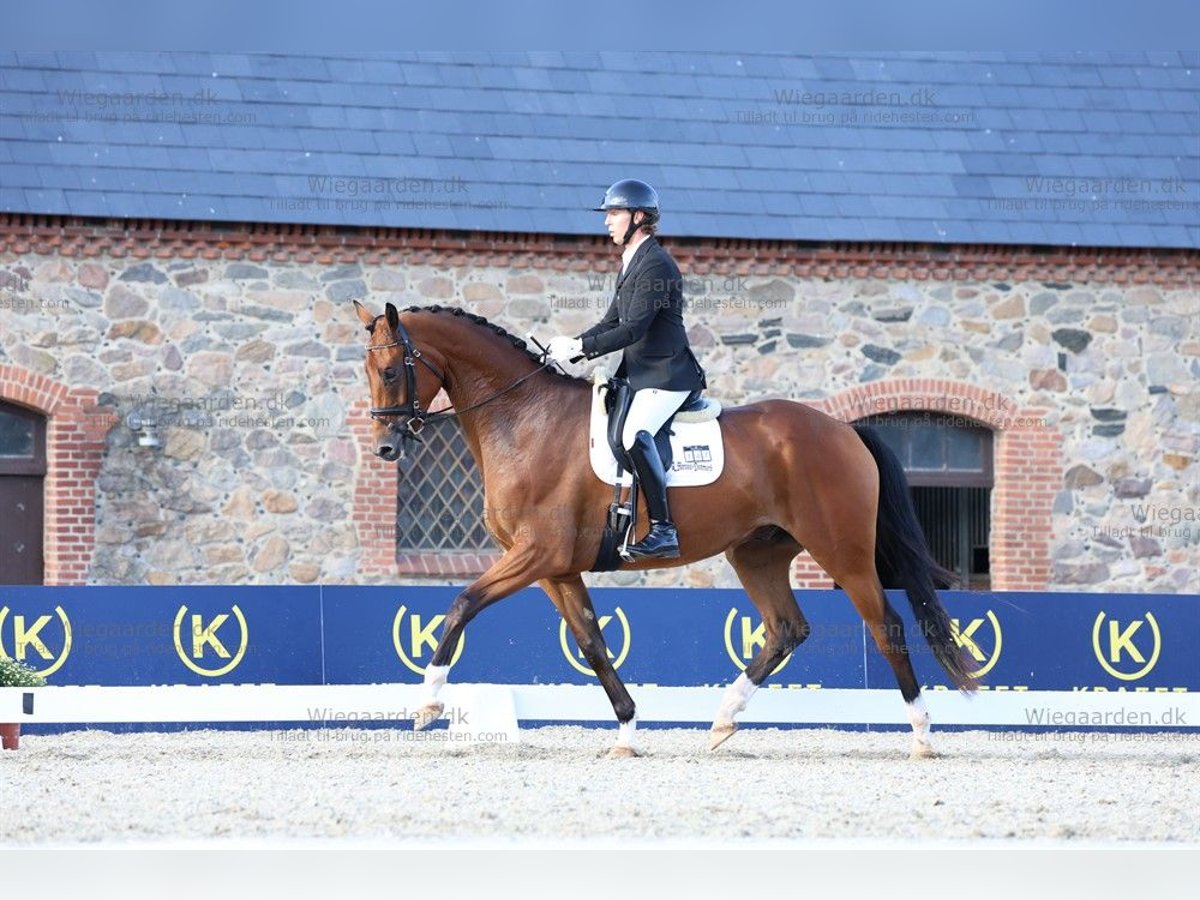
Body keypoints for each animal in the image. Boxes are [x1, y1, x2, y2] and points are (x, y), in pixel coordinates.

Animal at [352, 300, 974, 758]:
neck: (524, 419)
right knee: (786, 628)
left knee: (886, 624)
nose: (385, 448)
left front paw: (428, 702)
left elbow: (461, 604)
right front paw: (627, 731)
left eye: (391, 370)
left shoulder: (536, 554)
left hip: (841, 550)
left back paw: (922, 735)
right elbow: (592, 643)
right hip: (757, 553)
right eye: (367, 372)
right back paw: (722, 720)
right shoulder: (555, 568)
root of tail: (845, 430)